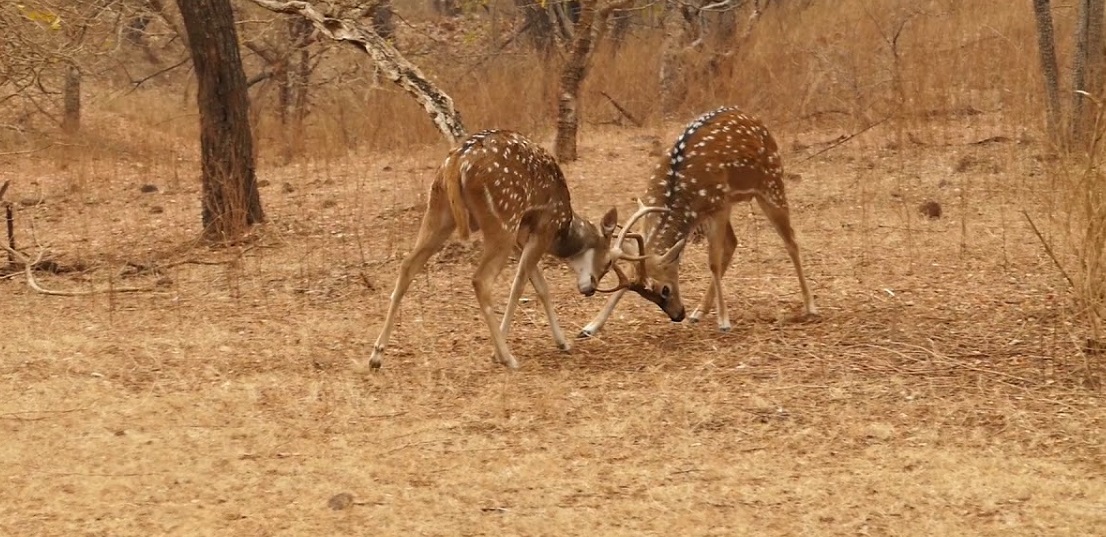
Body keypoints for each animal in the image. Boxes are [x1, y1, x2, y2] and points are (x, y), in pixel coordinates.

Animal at [362, 129, 659, 369]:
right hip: (502, 218)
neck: (565, 227)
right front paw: (499, 350)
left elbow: (540, 285)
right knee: (480, 279)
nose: (589, 289)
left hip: (440, 211)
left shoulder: (521, 237)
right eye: (608, 262)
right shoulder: (542, 229)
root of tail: (455, 163)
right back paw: (508, 358)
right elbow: (521, 283)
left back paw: (376, 355)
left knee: (408, 264)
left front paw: (562, 342)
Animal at [579, 107, 822, 338]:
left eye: (665, 289)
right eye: (644, 295)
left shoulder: (719, 205)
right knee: (733, 243)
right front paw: (590, 327)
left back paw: (811, 307)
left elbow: (712, 262)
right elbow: (634, 267)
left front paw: (724, 322)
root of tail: (757, 121)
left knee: (790, 241)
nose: (678, 315)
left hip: (771, 184)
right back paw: (699, 312)